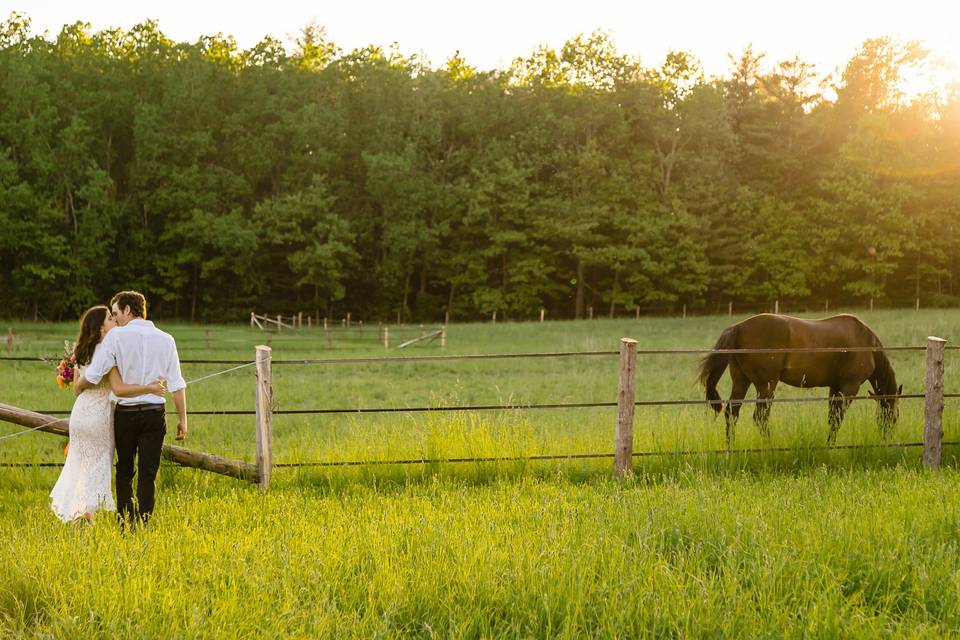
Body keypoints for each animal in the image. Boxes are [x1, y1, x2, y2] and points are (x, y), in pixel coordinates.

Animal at [696, 314, 900, 444]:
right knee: (760, 417)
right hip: (766, 385)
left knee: (732, 413)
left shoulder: (834, 387)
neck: (866, 342)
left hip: (741, 381)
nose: (888, 438)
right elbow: (837, 418)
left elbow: (832, 418)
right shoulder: (849, 387)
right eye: (895, 416)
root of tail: (738, 327)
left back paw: (731, 447)